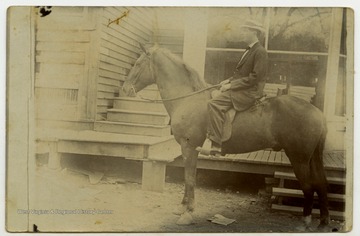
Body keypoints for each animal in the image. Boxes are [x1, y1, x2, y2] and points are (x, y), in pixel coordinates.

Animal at [122, 45, 330, 230]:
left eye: (138, 64)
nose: (125, 89)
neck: (189, 98)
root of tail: (318, 113)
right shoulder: (188, 150)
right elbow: (188, 179)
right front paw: (182, 207)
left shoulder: (189, 148)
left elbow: (190, 179)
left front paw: (187, 214)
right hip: (312, 158)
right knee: (321, 183)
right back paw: (323, 222)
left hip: (299, 158)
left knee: (308, 186)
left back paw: (305, 222)